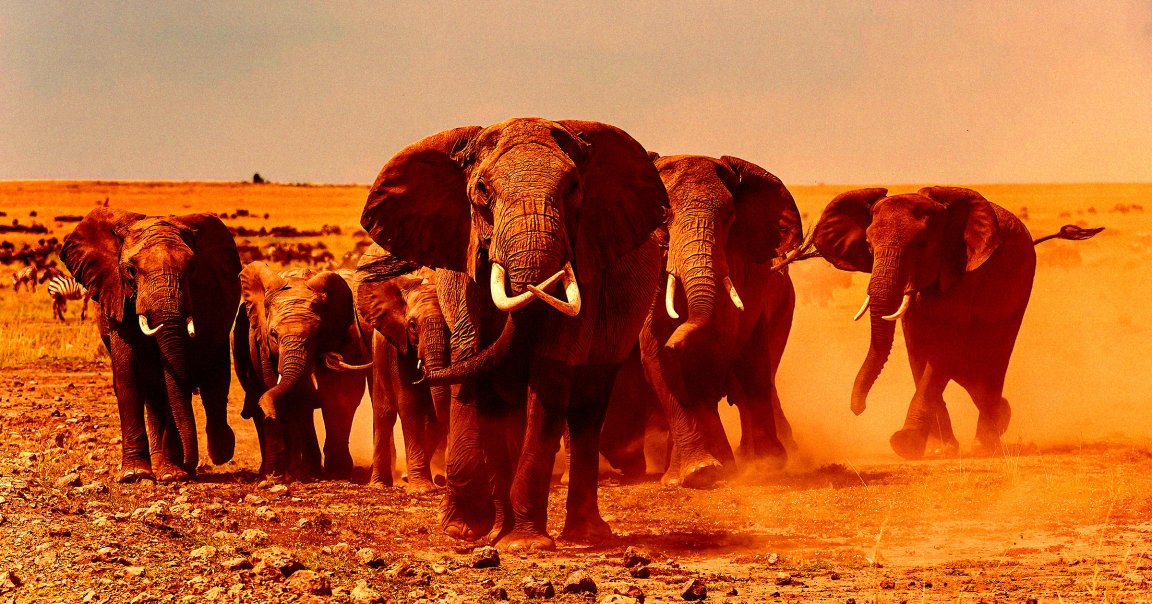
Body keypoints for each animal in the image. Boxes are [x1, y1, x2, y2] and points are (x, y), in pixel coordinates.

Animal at [61, 207, 241, 482]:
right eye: (130, 270)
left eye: (192, 268)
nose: (190, 466)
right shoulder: (117, 295)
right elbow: (128, 375)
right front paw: (135, 474)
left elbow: (172, 382)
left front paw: (172, 474)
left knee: (213, 382)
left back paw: (218, 451)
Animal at [232, 262, 370, 480]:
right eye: (273, 334)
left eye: (317, 334)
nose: (270, 416)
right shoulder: (261, 344)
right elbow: (293, 397)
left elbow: (340, 395)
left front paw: (337, 473)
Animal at [352, 244, 451, 492]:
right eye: (413, 325)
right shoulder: (397, 345)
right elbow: (409, 403)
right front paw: (422, 487)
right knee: (384, 412)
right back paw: (379, 485)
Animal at [812, 186, 1102, 459]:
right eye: (869, 246)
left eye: (922, 243)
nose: (859, 409)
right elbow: (917, 351)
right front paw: (939, 450)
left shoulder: (963, 273)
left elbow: (942, 350)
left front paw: (905, 445)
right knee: (972, 375)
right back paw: (1001, 416)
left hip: (1020, 286)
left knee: (993, 357)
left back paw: (986, 444)